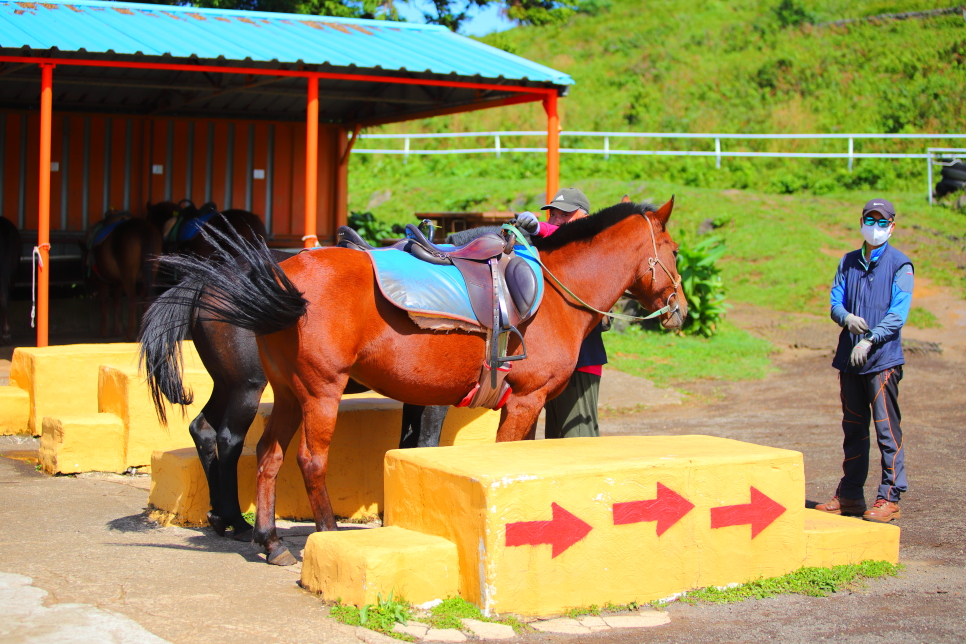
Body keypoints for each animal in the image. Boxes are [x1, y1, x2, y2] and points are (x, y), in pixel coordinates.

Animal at [88, 211, 164, 342]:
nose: (92, 293)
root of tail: (143, 228)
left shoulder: (103, 282)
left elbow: (105, 302)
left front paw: (103, 332)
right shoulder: (118, 283)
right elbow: (117, 302)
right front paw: (116, 330)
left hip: (128, 275)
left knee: (132, 299)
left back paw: (130, 334)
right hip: (149, 274)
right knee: (146, 299)